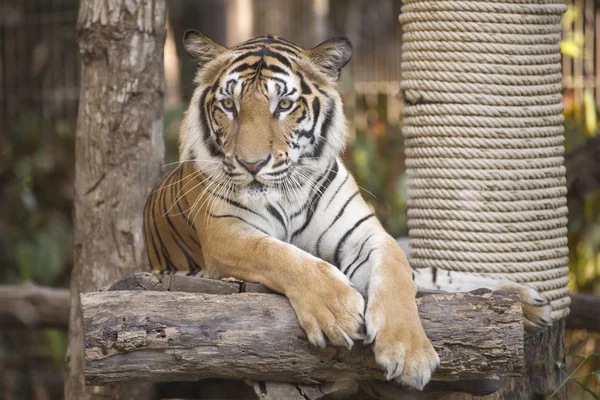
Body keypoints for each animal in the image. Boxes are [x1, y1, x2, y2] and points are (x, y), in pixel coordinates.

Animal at [142, 32, 552, 390]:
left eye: (284, 105)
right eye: (229, 105)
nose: (251, 164)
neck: (286, 193)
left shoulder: (365, 233)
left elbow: (397, 273)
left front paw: (410, 353)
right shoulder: (226, 233)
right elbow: (279, 254)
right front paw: (336, 310)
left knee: (427, 277)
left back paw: (527, 302)